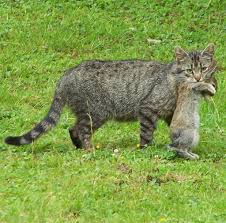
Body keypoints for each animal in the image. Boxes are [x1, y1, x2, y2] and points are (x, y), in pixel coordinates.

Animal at [4, 44, 217, 152]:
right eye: (189, 70)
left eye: (204, 68)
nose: (198, 78)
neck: (173, 79)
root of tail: (67, 73)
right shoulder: (147, 109)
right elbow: (146, 133)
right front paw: (145, 149)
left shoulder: (170, 112)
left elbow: (175, 128)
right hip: (96, 113)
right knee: (81, 129)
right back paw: (88, 149)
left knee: (72, 128)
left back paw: (79, 147)